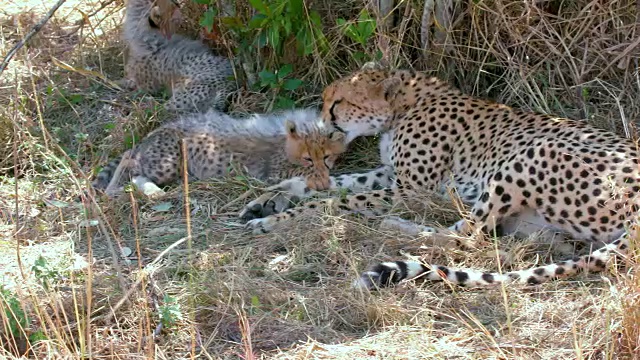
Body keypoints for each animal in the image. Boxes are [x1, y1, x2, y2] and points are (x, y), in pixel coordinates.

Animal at [242, 65, 636, 290]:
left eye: (337, 103)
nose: (321, 123)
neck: (404, 104)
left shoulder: (412, 190)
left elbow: (336, 200)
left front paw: (277, 220)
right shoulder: (390, 174)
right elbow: (333, 186)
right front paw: (268, 199)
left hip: (535, 150)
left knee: (469, 238)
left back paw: (394, 226)